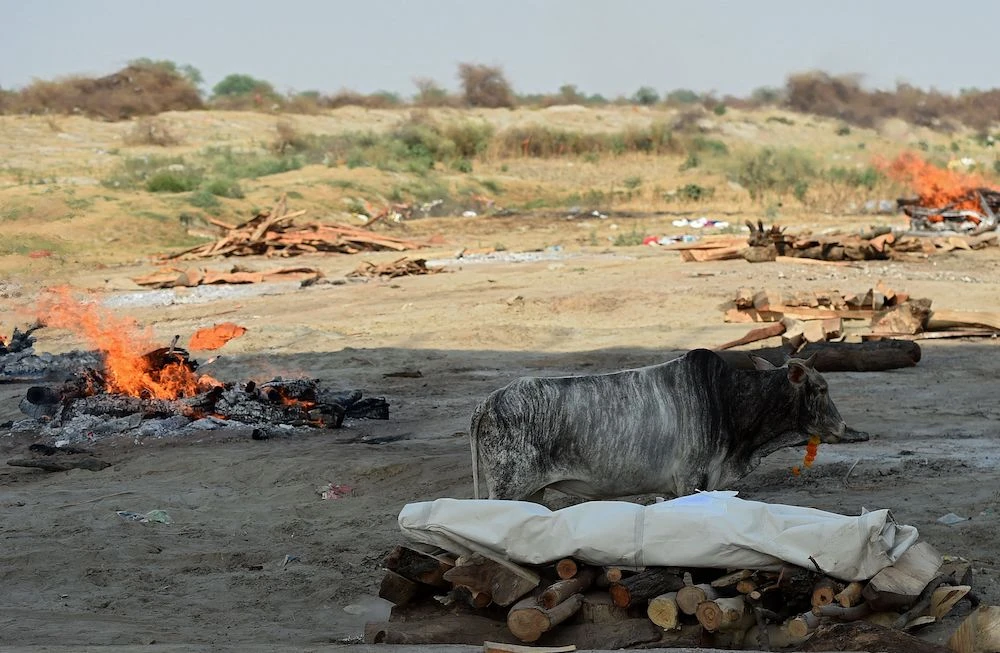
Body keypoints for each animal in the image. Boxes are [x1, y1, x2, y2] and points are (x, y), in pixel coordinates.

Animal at [469, 348, 854, 501]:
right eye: (822, 388)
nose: (842, 428)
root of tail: (489, 401)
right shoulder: (691, 481)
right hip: (507, 489)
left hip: (531, 493)